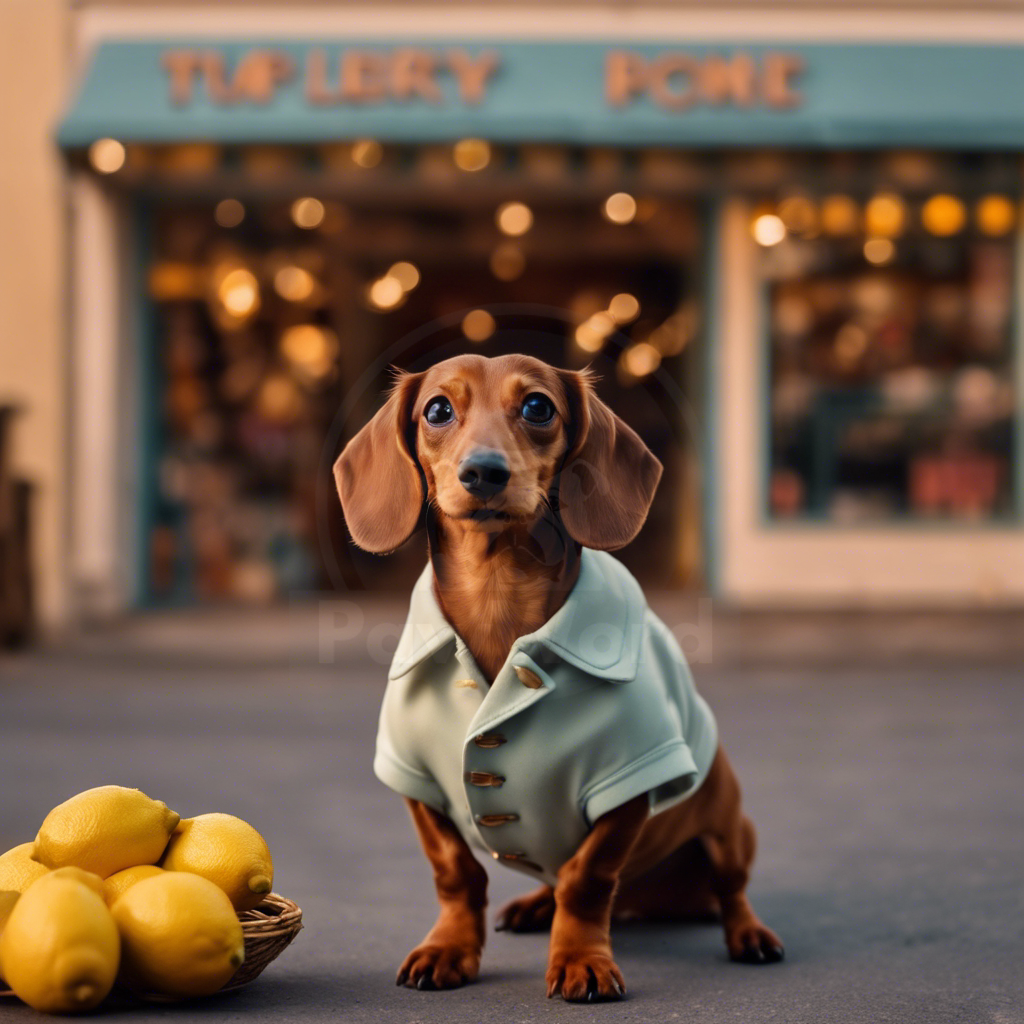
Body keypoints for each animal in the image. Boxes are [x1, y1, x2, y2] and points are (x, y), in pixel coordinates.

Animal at [335, 352, 782, 999]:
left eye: (537, 406)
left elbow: (585, 878)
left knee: (732, 891)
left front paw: (580, 959)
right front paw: (449, 948)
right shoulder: (415, 781)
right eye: (437, 409)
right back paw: (533, 907)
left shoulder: (630, 782)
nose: (484, 472)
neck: (498, 600)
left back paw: (749, 934)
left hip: (729, 828)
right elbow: (455, 872)